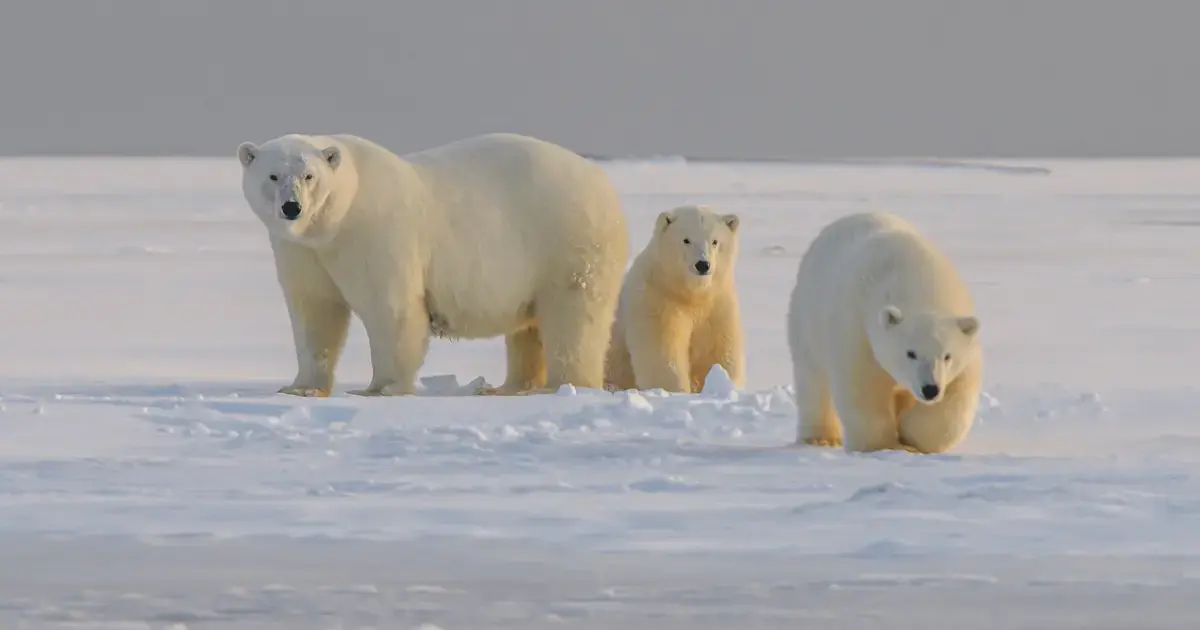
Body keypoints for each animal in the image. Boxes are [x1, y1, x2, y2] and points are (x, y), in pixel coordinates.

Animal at [236, 132, 629, 397]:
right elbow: (314, 311)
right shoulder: (301, 251)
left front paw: (382, 388)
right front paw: (301, 388)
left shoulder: (376, 233)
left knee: (573, 318)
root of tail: (604, 184)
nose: (292, 207)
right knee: (528, 328)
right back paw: (508, 387)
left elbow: (391, 309)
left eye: (309, 176)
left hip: (565, 241)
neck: (336, 221)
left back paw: (563, 385)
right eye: (272, 175)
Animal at [604, 204, 745, 393]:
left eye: (715, 241)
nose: (702, 265)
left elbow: (718, 349)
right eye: (686, 240)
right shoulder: (658, 299)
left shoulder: (717, 303)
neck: (689, 293)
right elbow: (663, 352)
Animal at [785, 211, 982, 454]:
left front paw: (910, 436)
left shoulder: (966, 354)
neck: (919, 282)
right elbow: (863, 388)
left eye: (947, 355)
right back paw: (820, 438)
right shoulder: (858, 330)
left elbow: (954, 401)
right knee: (812, 380)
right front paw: (883, 445)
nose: (930, 389)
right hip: (808, 318)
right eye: (910, 353)